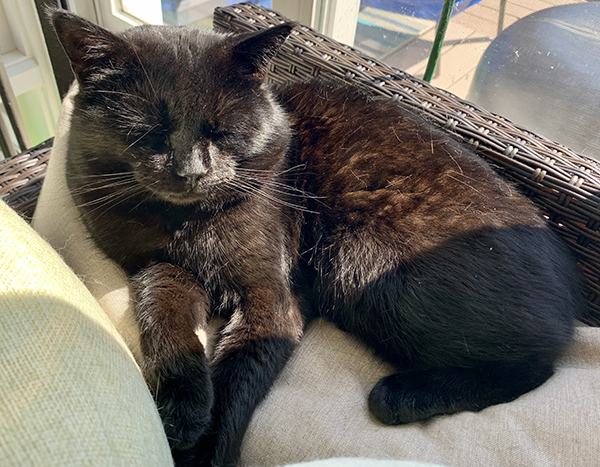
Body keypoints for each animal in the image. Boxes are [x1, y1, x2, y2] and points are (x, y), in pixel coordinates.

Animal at [49, 10, 584, 467]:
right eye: (151, 133)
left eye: (221, 131)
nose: (191, 171)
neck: (185, 225)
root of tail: (570, 297)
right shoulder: (154, 267)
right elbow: (162, 316)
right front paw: (183, 412)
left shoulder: (272, 293)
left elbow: (239, 373)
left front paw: (207, 446)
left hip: (362, 261)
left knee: (536, 365)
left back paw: (401, 396)